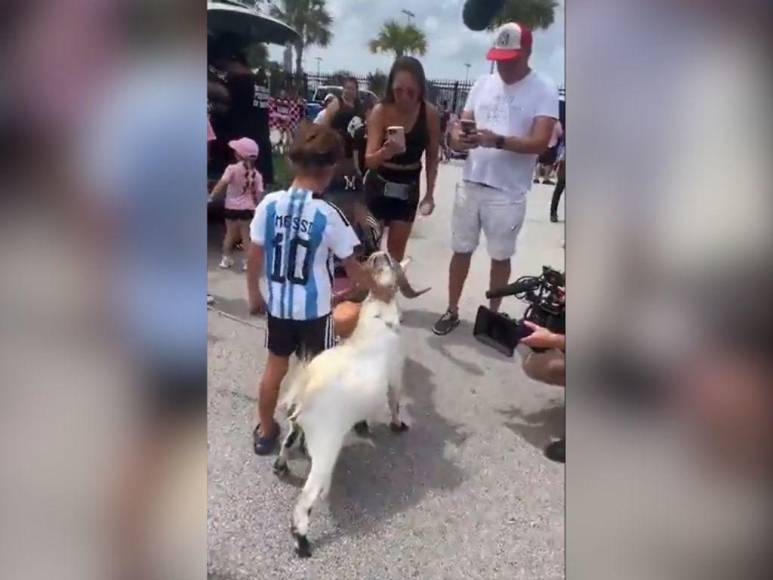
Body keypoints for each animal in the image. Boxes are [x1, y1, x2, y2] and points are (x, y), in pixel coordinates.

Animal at [272, 250, 428, 556]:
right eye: (391, 263)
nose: (380, 254)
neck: (377, 320)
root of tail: (306, 389)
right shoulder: (396, 375)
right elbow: (394, 401)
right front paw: (399, 426)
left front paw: (364, 425)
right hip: (325, 446)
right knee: (307, 496)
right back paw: (302, 541)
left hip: (297, 424)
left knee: (287, 442)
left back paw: (281, 466)